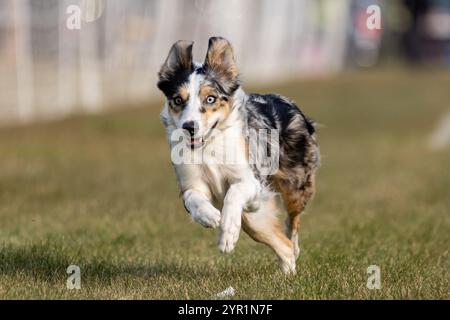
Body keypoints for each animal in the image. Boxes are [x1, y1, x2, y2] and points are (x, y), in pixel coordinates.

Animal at [158, 37, 320, 272]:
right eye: (178, 100)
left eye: (210, 99)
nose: (189, 127)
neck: (209, 147)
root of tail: (288, 102)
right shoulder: (191, 183)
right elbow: (193, 198)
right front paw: (210, 216)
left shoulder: (250, 179)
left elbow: (234, 193)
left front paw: (228, 233)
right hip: (258, 220)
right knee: (282, 243)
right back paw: (287, 269)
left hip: (296, 186)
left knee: (292, 224)